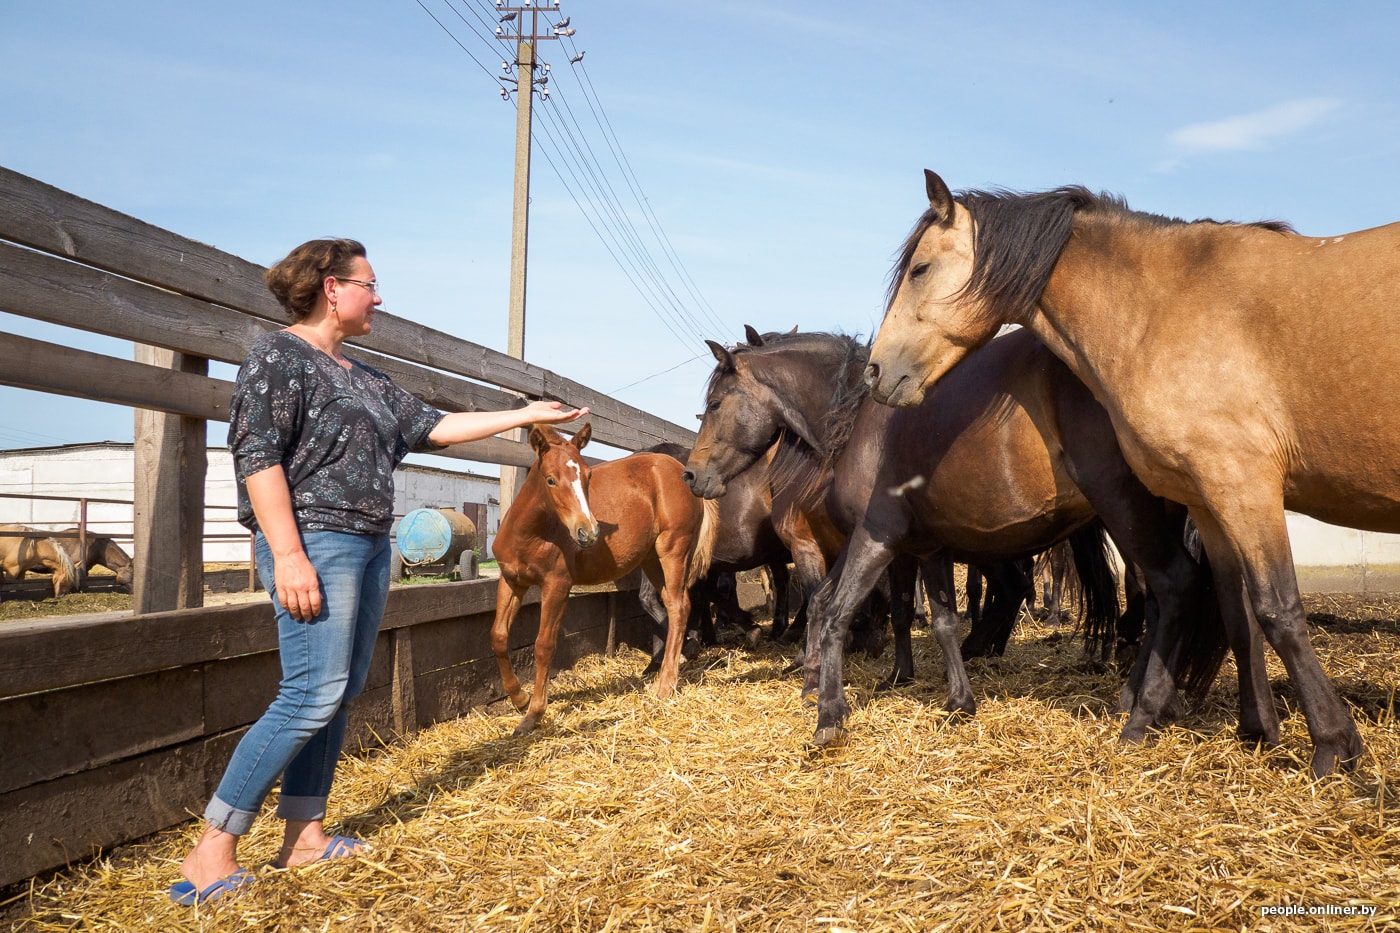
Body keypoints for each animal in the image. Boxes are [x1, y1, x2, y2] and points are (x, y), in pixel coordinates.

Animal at [490, 420, 716, 734]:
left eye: (588, 476)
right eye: (550, 479)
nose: (588, 532)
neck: (529, 534)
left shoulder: (557, 585)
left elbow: (544, 645)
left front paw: (533, 714)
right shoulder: (511, 580)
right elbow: (499, 637)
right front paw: (519, 698)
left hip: (673, 550)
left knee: (678, 606)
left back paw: (666, 684)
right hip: (651, 560)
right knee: (675, 604)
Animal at [862, 167, 1400, 767]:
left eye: (920, 268)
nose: (874, 371)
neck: (1165, 306)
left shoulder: (1244, 486)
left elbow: (1276, 609)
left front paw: (1334, 745)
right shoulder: (1206, 498)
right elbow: (1234, 608)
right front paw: (1257, 729)